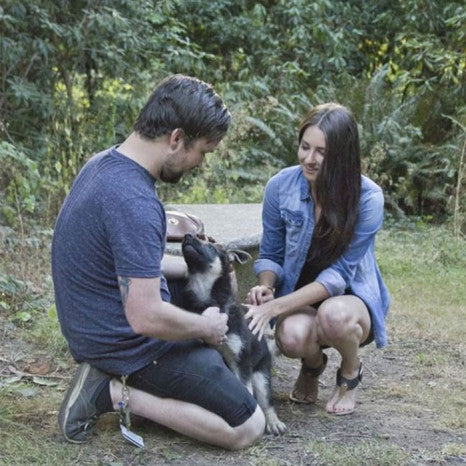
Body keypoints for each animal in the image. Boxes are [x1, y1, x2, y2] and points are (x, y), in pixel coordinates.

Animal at [178, 235, 286, 436]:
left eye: (211, 247)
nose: (187, 235)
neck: (210, 301)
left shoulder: (241, 360)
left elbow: (246, 390)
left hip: (261, 375)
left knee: (266, 400)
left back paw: (273, 422)